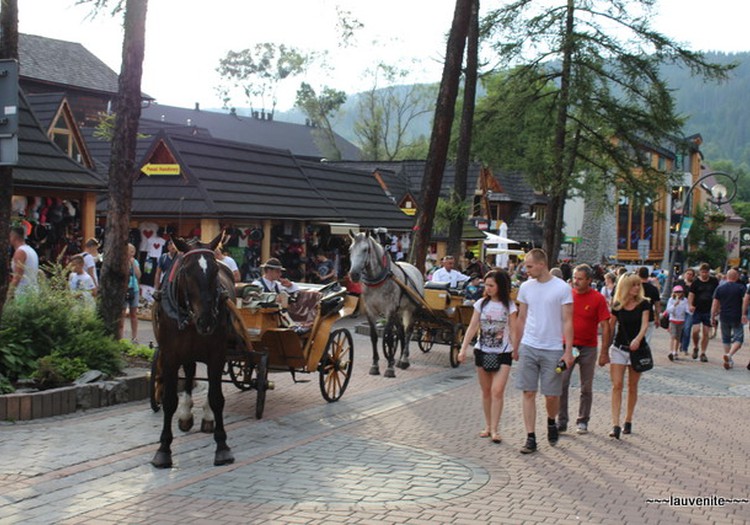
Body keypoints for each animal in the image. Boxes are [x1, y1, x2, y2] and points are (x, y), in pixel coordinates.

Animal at [151, 233, 236, 466]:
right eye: (187, 271)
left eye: (215, 271)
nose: (206, 320)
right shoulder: (170, 355)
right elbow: (169, 400)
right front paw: (163, 449)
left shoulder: (217, 353)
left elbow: (217, 397)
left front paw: (222, 446)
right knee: (189, 372)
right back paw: (186, 414)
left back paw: (206, 417)